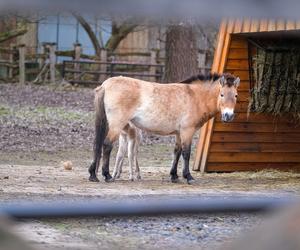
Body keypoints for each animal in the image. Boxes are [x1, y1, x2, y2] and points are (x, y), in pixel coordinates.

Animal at [88, 73, 240, 184]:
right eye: (221, 94)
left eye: (236, 95)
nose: (228, 116)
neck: (194, 97)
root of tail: (105, 85)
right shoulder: (187, 131)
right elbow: (186, 153)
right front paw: (188, 177)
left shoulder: (179, 133)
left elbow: (177, 152)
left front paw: (174, 176)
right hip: (116, 125)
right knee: (107, 145)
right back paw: (107, 175)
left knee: (98, 145)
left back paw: (93, 175)